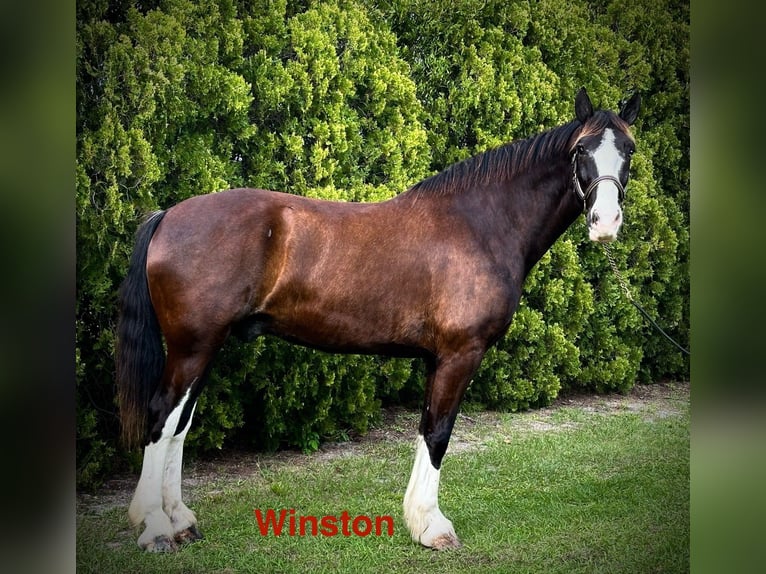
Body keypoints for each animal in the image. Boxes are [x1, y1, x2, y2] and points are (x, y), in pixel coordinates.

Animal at [115, 89, 640, 552]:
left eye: (629, 150)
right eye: (581, 150)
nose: (605, 222)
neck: (480, 223)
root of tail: (169, 215)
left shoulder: (438, 359)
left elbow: (428, 428)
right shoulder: (459, 354)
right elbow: (438, 432)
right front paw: (432, 528)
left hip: (206, 346)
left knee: (179, 424)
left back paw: (180, 520)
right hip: (193, 346)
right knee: (162, 417)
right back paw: (156, 528)